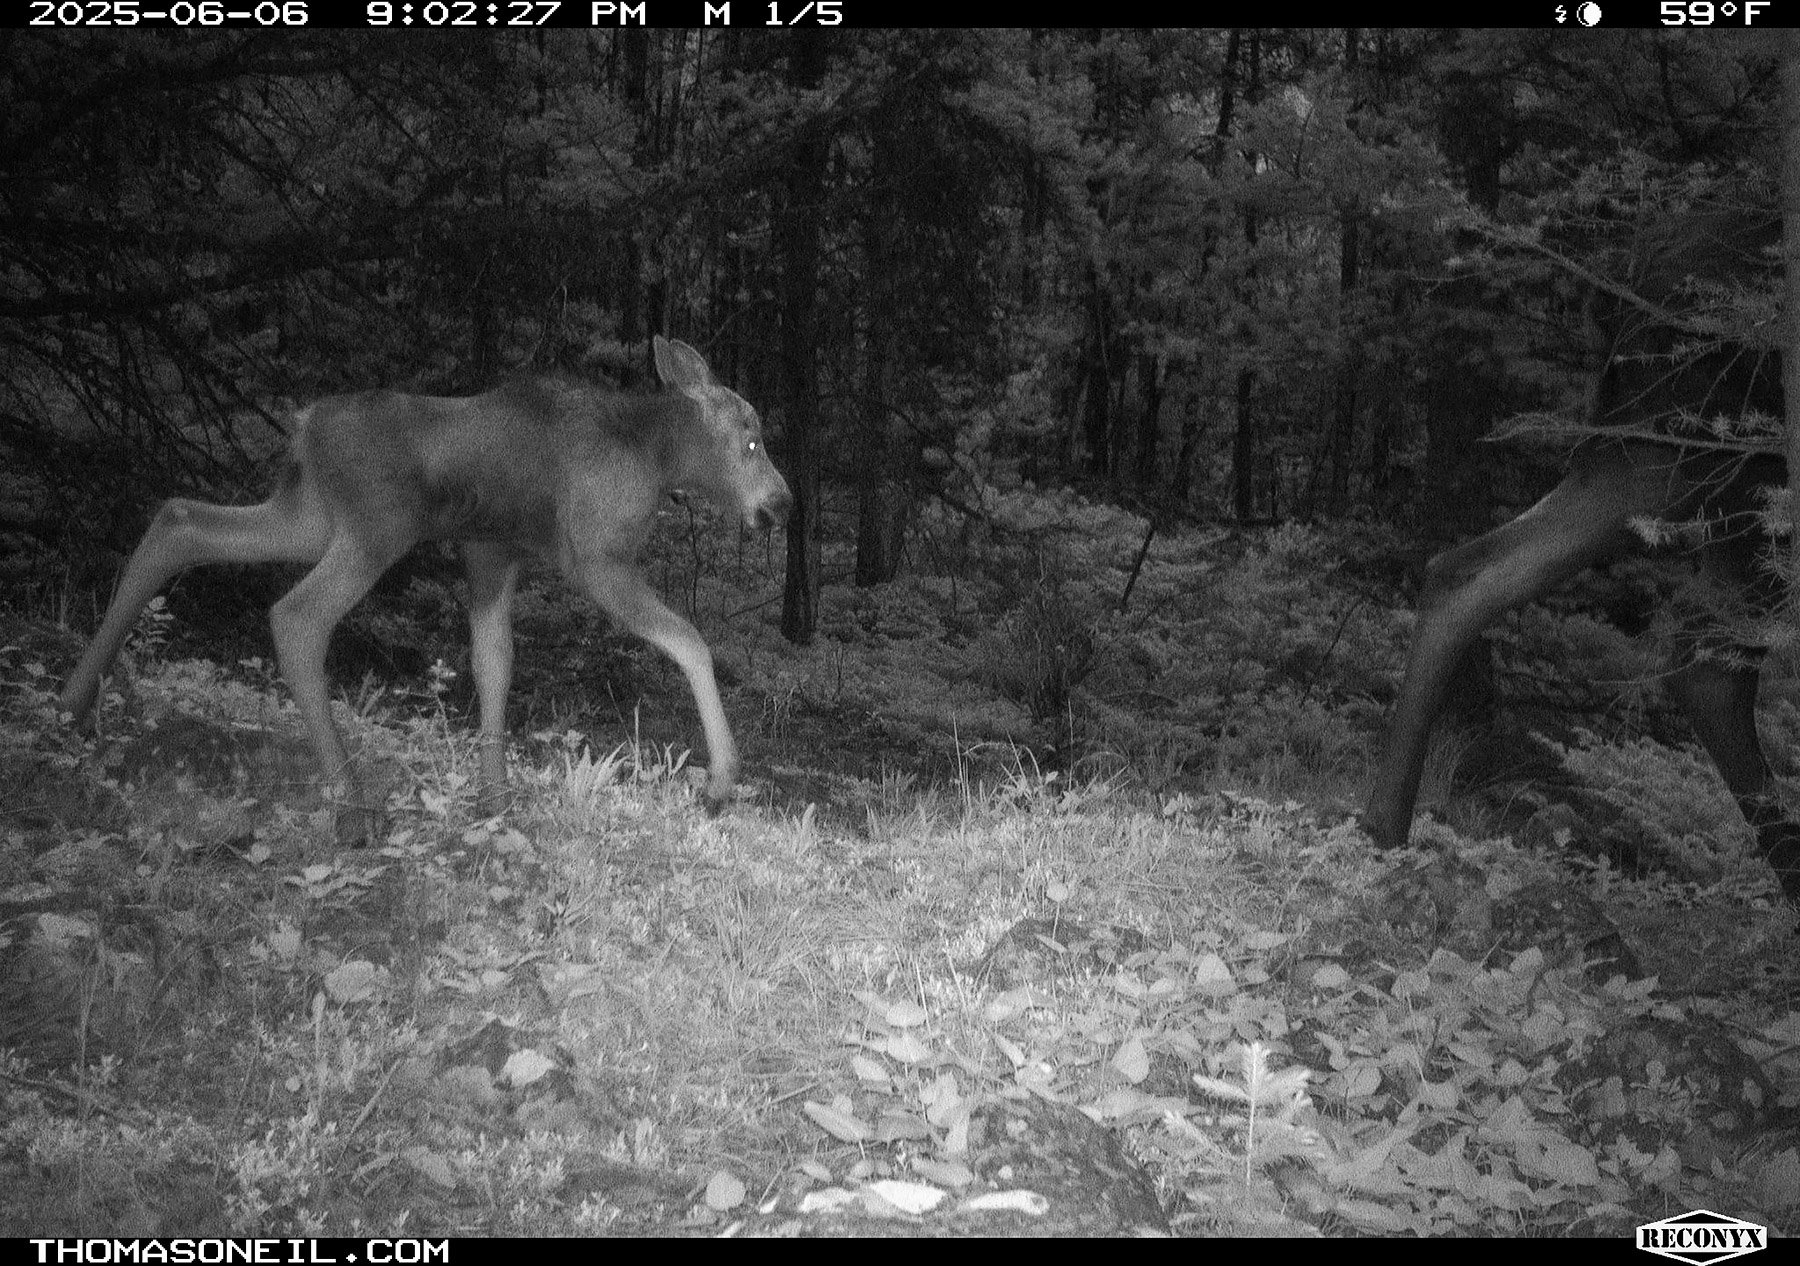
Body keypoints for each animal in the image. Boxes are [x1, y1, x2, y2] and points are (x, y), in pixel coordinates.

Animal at [57, 335, 793, 845]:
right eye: (752, 439)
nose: (782, 505)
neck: (656, 458)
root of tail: (303, 422)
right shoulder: (596, 558)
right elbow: (691, 641)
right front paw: (722, 778)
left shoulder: (492, 550)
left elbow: (494, 664)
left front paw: (494, 800)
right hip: (375, 529)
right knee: (296, 614)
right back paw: (351, 802)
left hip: (309, 517)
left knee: (179, 520)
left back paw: (72, 707)